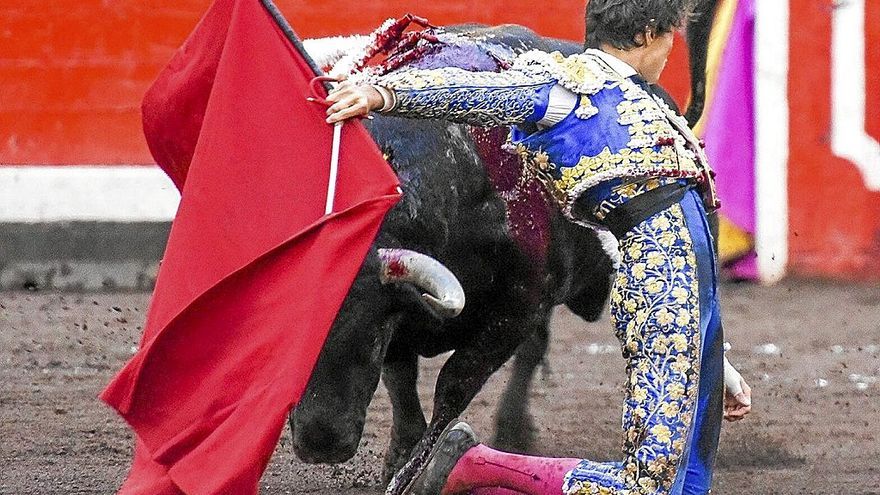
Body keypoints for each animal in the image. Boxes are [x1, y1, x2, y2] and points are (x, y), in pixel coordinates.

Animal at [292, 6, 720, 480]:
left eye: (367, 332)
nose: (321, 444)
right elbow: (403, 387)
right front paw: (398, 459)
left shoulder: (516, 310)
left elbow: (452, 390)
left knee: (534, 350)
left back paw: (512, 428)